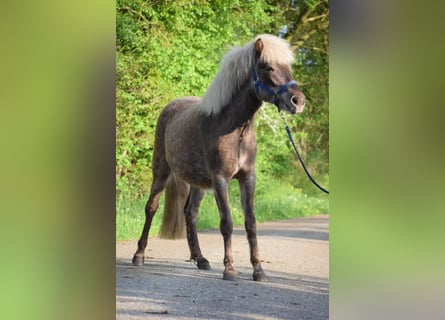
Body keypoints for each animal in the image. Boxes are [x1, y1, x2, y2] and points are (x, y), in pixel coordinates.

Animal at [132, 33, 306, 282]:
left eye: (288, 67)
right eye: (268, 67)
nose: (297, 101)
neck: (235, 129)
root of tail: (171, 107)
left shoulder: (247, 178)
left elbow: (251, 223)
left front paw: (258, 270)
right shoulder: (220, 179)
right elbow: (227, 223)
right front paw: (230, 269)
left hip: (197, 183)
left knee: (190, 213)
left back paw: (201, 259)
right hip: (161, 171)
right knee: (151, 208)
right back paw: (139, 255)